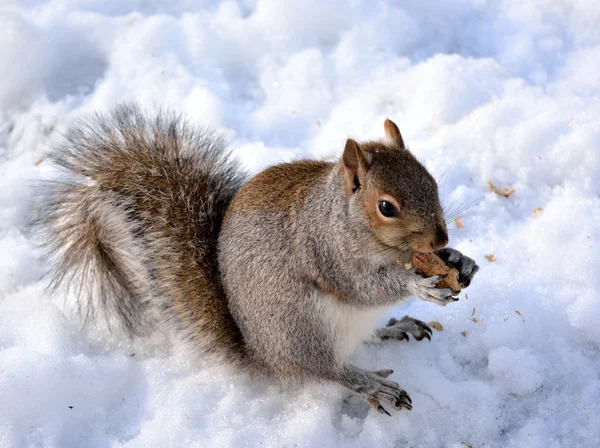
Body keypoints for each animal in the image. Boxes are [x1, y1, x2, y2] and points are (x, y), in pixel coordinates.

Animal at [36, 105, 478, 416]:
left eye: (431, 180)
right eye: (386, 207)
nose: (441, 238)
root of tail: (261, 354)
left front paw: (459, 260)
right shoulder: (324, 251)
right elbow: (364, 287)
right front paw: (416, 284)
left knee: (362, 339)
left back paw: (395, 327)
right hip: (302, 327)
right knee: (325, 368)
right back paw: (368, 383)